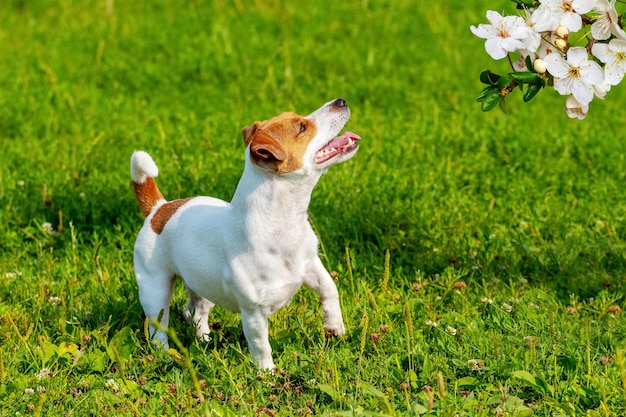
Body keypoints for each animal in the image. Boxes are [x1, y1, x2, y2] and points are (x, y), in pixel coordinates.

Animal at [129, 97, 358, 368]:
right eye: (302, 127)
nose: (340, 100)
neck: (285, 221)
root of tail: (159, 209)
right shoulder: (254, 313)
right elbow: (261, 345)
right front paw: (267, 372)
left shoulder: (310, 264)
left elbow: (329, 288)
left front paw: (335, 326)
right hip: (155, 289)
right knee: (158, 328)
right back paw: (167, 354)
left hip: (202, 283)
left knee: (194, 311)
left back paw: (204, 339)